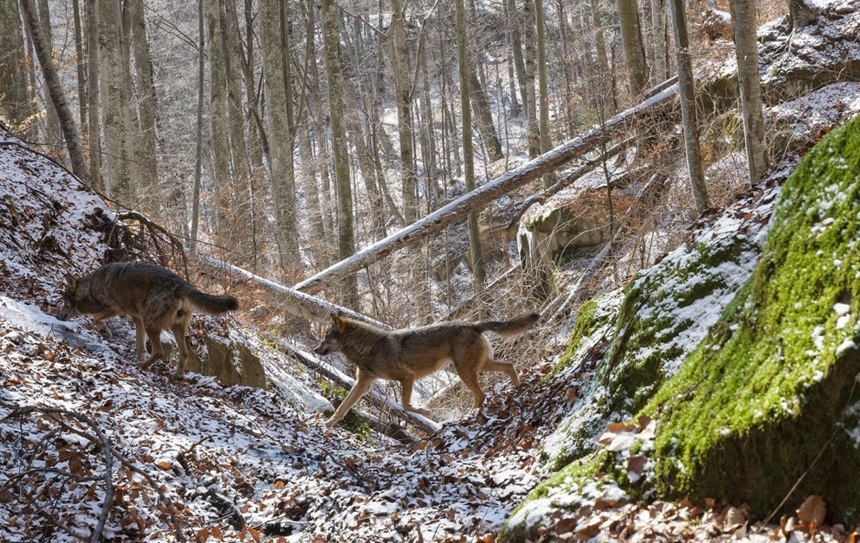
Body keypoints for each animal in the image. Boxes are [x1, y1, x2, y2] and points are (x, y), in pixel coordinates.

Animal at [56, 262, 239, 378]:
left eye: (64, 302)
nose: (57, 316)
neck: (91, 286)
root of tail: (183, 284)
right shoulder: (138, 320)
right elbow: (140, 346)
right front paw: (138, 358)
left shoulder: (114, 308)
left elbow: (96, 318)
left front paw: (105, 332)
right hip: (173, 328)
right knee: (184, 353)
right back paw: (177, 376)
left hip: (152, 324)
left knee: (159, 351)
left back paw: (143, 367)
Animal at [312, 310, 536, 430]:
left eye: (325, 336)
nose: (314, 350)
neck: (369, 348)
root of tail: (473, 324)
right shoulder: (362, 384)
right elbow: (342, 407)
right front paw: (328, 424)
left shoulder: (407, 377)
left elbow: (406, 406)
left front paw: (428, 412)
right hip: (479, 367)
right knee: (509, 366)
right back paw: (518, 388)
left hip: (465, 371)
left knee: (481, 395)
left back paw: (469, 416)